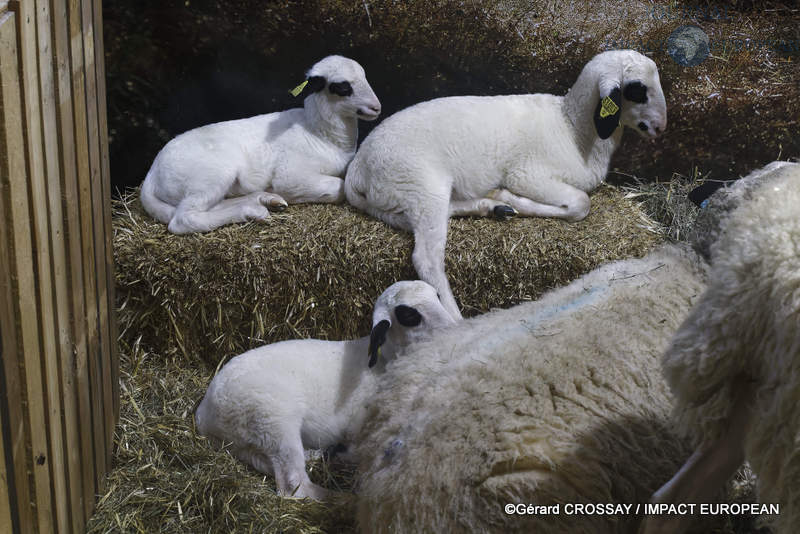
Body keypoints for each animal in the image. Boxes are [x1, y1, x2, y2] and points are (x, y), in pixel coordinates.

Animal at [141, 55, 382, 237]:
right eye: (341, 87)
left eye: (365, 76)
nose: (376, 107)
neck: (319, 134)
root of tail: (152, 174)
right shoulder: (290, 175)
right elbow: (337, 188)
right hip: (211, 173)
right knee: (184, 219)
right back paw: (253, 211)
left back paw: (264, 201)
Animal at [193, 280, 456, 502]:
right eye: (409, 314)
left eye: (437, 296)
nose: (454, 329)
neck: (385, 362)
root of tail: (205, 414)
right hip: (271, 420)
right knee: (293, 485)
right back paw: (340, 498)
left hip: (247, 442)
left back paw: (322, 455)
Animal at [346, 49, 668, 318]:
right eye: (637, 90)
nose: (660, 128)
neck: (572, 129)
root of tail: (357, 168)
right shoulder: (526, 175)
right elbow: (580, 203)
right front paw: (514, 198)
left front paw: (504, 199)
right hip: (422, 184)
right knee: (427, 259)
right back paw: (455, 319)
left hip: (414, 196)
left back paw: (493, 206)